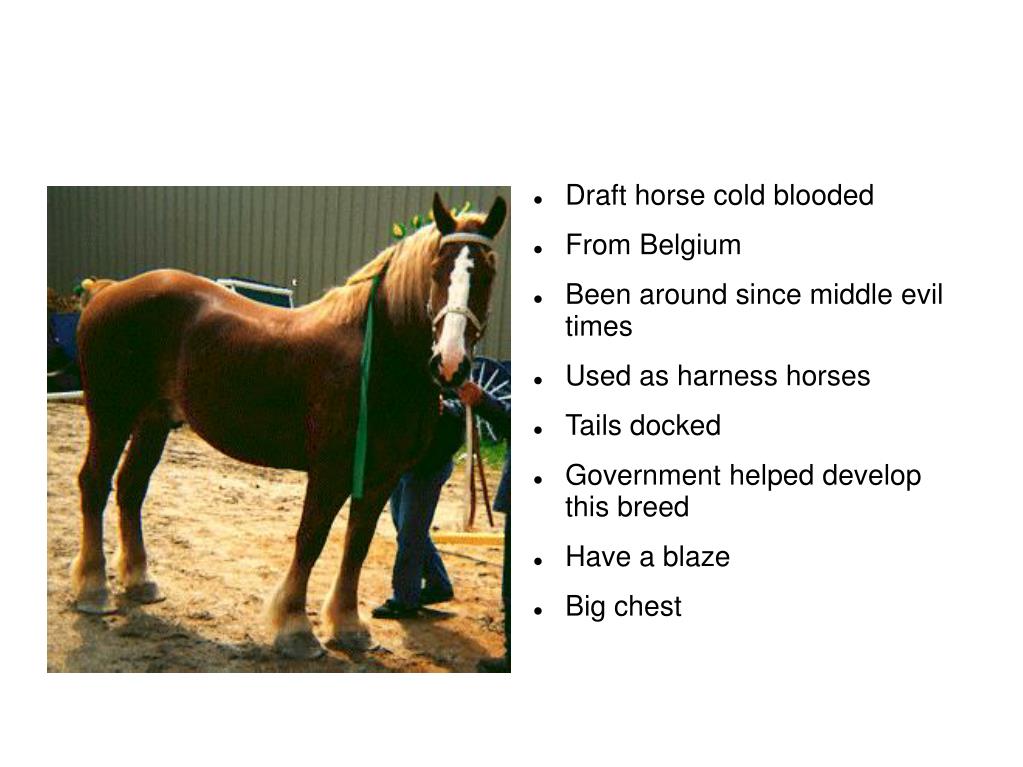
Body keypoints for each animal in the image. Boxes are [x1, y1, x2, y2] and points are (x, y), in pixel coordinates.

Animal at [70, 192, 507, 659]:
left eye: (488, 272)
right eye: (436, 269)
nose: (450, 364)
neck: (379, 357)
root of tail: (109, 289)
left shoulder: (380, 477)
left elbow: (358, 543)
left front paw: (348, 625)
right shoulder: (330, 471)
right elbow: (311, 538)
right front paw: (296, 629)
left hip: (153, 421)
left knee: (131, 488)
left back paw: (139, 582)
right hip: (111, 414)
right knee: (95, 484)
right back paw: (93, 590)